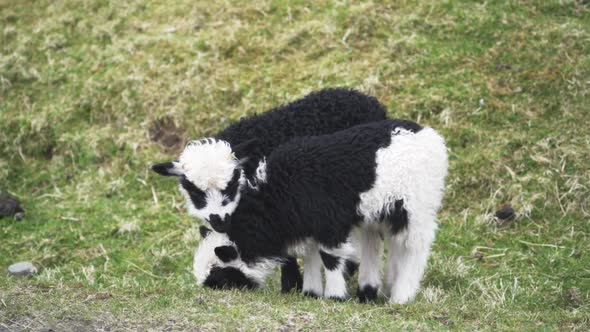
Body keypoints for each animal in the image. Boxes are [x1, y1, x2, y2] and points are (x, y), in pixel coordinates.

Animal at [194, 120, 448, 304]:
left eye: (219, 273)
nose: (208, 289)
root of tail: (430, 137)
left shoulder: (329, 222)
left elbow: (329, 257)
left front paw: (335, 296)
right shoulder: (308, 224)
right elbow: (310, 254)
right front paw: (311, 292)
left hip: (416, 206)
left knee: (415, 247)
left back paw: (401, 296)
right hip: (381, 213)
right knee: (384, 244)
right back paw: (374, 291)